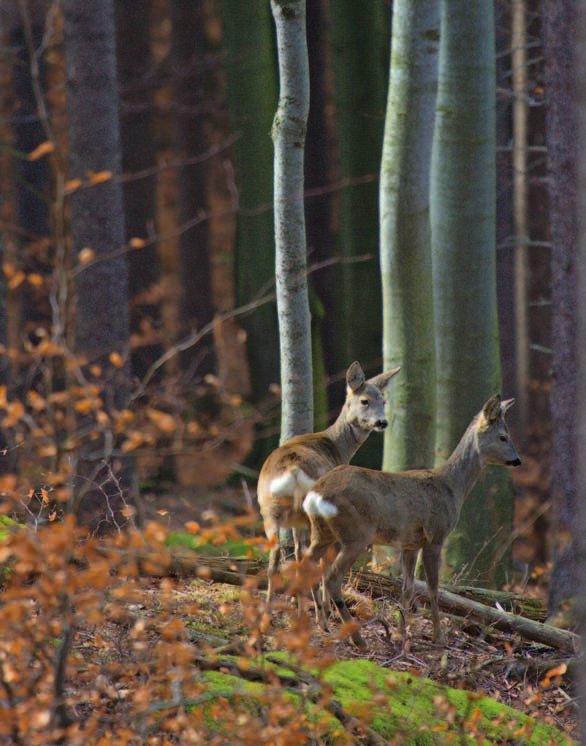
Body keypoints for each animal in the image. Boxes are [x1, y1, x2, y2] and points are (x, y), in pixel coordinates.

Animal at [258, 360, 400, 604]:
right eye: (364, 400)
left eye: (383, 400)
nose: (382, 422)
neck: (337, 446)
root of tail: (293, 471)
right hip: (321, 513)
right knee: (315, 558)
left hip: (270, 508)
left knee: (280, 555)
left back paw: (272, 605)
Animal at [302, 396, 520, 644]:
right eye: (503, 436)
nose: (517, 460)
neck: (452, 486)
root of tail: (315, 493)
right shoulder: (436, 536)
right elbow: (433, 588)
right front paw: (438, 636)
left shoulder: (410, 544)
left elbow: (407, 587)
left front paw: (400, 634)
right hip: (355, 534)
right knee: (331, 577)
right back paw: (357, 638)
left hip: (321, 532)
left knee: (303, 565)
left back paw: (313, 621)